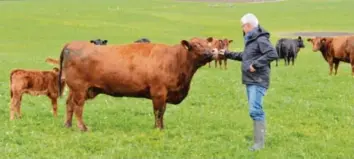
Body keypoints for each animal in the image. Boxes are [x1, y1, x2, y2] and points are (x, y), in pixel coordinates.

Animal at [57, 36, 216, 131]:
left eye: (207, 44)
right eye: (195, 45)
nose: (210, 53)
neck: (175, 59)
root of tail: (73, 43)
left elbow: (162, 111)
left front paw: (161, 127)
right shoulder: (158, 92)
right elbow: (158, 112)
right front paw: (158, 129)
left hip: (77, 89)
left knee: (69, 104)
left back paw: (67, 125)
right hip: (79, 88)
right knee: (78, 107)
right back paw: (82, 128)